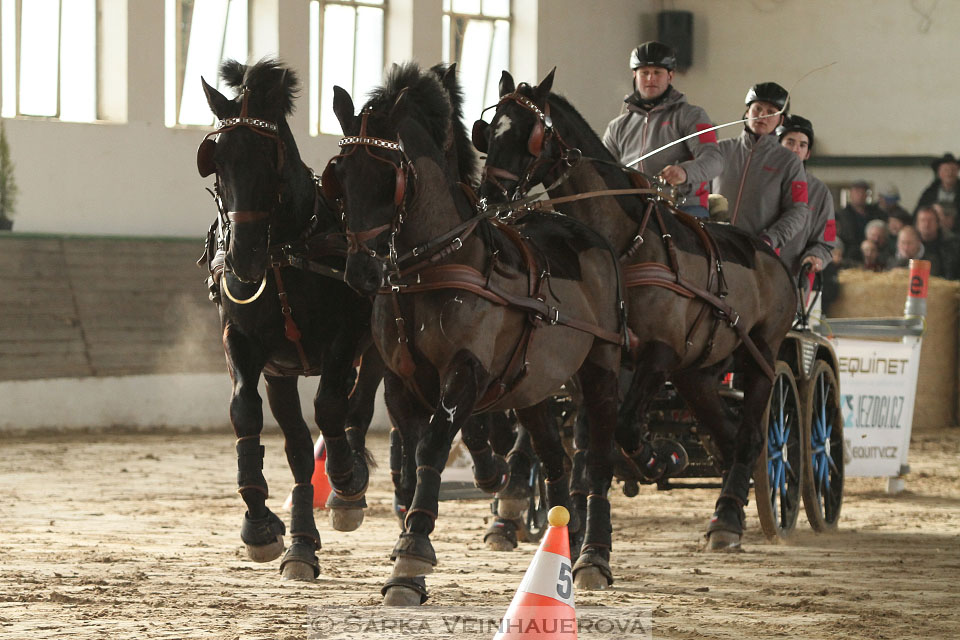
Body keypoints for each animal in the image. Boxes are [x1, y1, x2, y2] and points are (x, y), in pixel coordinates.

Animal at [197, 58, 380, 580]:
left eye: (269, 154)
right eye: (216, 159)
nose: (243, 256)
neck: (284, 254)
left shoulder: (345, 339)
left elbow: (333, 407)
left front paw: (345, 480)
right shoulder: (244, 342)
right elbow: (245, 412)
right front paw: (260, 524)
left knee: (358, 404)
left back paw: (348, 485)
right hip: (282, 373)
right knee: (298, 447)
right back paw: (301, 541)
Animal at [322, 63, 624, 604]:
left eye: (390, 178)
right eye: (340, 177)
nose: (362, 271)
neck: (431, 267)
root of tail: (589, 234)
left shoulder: (466, 371)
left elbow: (434, 448)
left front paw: (412, 554)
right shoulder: (401, 381)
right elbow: (415, 452)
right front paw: (406, 549)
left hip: (601, 371)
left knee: (597, 461)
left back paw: (594, 555)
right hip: (532, 387)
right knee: (555, 459)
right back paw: (560, 543)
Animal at [476, 69, 800, 584]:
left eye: (531, 133)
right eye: (489, 130)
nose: (490, 198)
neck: (624, 242)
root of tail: (769, 253)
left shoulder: (658, 352)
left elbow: (624, 428)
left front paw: (652, 457)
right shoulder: (592, 361)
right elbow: (582, 447)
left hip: (761, 360)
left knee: (751, 436)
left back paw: (729, 518)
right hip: (697, 373)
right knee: (727, 435)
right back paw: (728, 505)